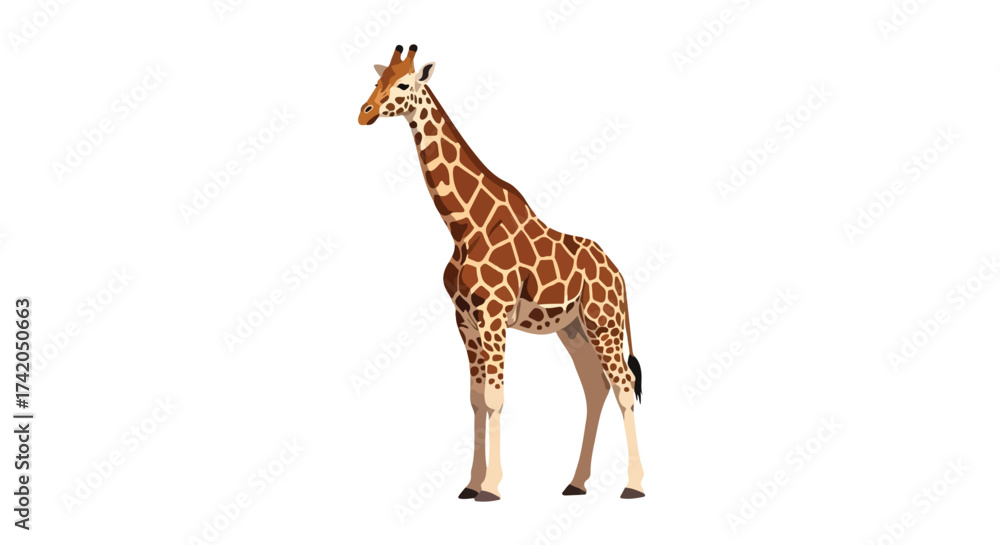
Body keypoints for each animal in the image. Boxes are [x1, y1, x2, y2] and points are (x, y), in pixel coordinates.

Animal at [358, 45, 645, 501]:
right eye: (377, 80)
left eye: (403, 84)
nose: (364, 112)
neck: (463, 225)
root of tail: (619, 275)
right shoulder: (464, 319)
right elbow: (476, 399)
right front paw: (470, 485)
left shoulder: (493, 314)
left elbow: (495, 398)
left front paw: (491, 488)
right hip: (574, 329)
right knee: (594, 387)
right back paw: (576, 482)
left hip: (604, 323)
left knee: (622, 386)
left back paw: (633, 485)